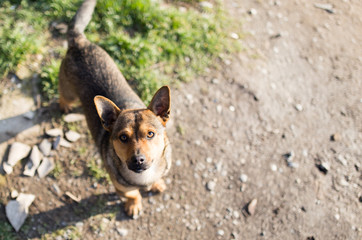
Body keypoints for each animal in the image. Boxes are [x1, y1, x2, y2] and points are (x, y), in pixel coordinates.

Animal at [58, 0, 173, 218]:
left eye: (151, 134)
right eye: (123, 137)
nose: (138, 160)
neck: (144, 176)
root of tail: (79, 41)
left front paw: (157, 184)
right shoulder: (120, 187)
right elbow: (132, 193)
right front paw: (134, 204)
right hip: (68, 90)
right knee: (63, 96)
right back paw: (65, 106)